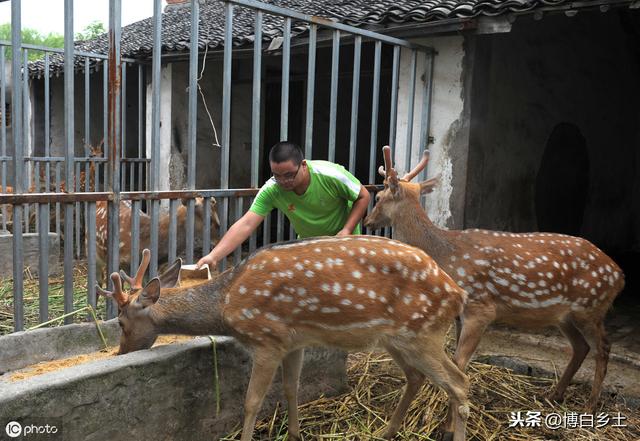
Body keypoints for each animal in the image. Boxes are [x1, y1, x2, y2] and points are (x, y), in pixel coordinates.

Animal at [97, 239, 472, 440]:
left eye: (120, 321)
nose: (119, 352)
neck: (227, 304)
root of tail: (457, 294)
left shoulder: (266, 339)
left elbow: (251, 401)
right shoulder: (294, 341)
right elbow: (291, 387)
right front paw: (294, 433)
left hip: (422, 332)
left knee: (458, 382)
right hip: (397, 339)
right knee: (418, 377)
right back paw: (386, 431)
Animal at [364, 146, 624, 410]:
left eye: (379, 197)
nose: (367, 221)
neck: (445, 255)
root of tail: (619, 275)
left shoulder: (481, 307)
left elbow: (459, 363)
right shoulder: (461, 314)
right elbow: (457, 361)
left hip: (590, 307)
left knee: (603, 347)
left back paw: (591, 404)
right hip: (565, 315)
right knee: (581, 347)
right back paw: (554, 395)